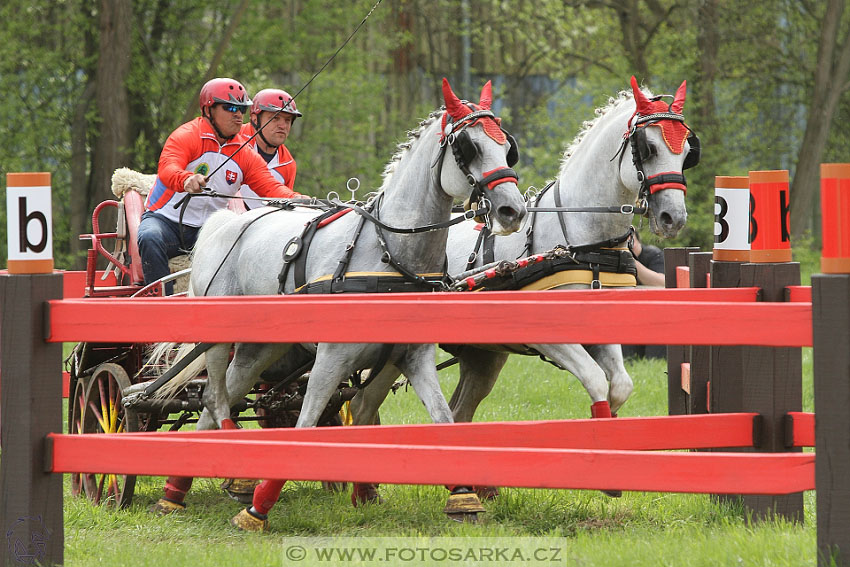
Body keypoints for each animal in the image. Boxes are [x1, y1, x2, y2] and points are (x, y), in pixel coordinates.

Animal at [149, 79, 528, 528]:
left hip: (261, 350)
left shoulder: (413, 354)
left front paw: (464, 496)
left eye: (507, 147)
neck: (387, 251)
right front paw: (258, 509)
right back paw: (213, 483)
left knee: (218, 402)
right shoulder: (331, 357)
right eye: (467, 146)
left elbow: (442, 417)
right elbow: (308, 423)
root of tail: (225, 223)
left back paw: (179, 490)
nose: (512, 210)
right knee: (214, 398)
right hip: (220, 341)